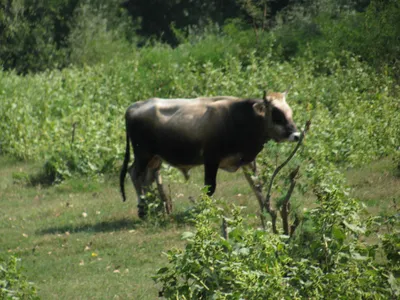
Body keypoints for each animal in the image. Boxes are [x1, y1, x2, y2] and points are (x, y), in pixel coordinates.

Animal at [119, 89, 300, 218]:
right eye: (277, 114)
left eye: (290, 112)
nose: (297, 135)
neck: (239, 118)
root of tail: (134, 106)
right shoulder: (211, 160)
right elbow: (210, 188)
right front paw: (203, 209)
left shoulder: (247, 160)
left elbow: (257, 186)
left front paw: (268, 209)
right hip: (143, 154)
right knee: (135, 174)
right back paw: (143, 210)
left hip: (155, 158)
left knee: (147, 179)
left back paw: (156, 209)